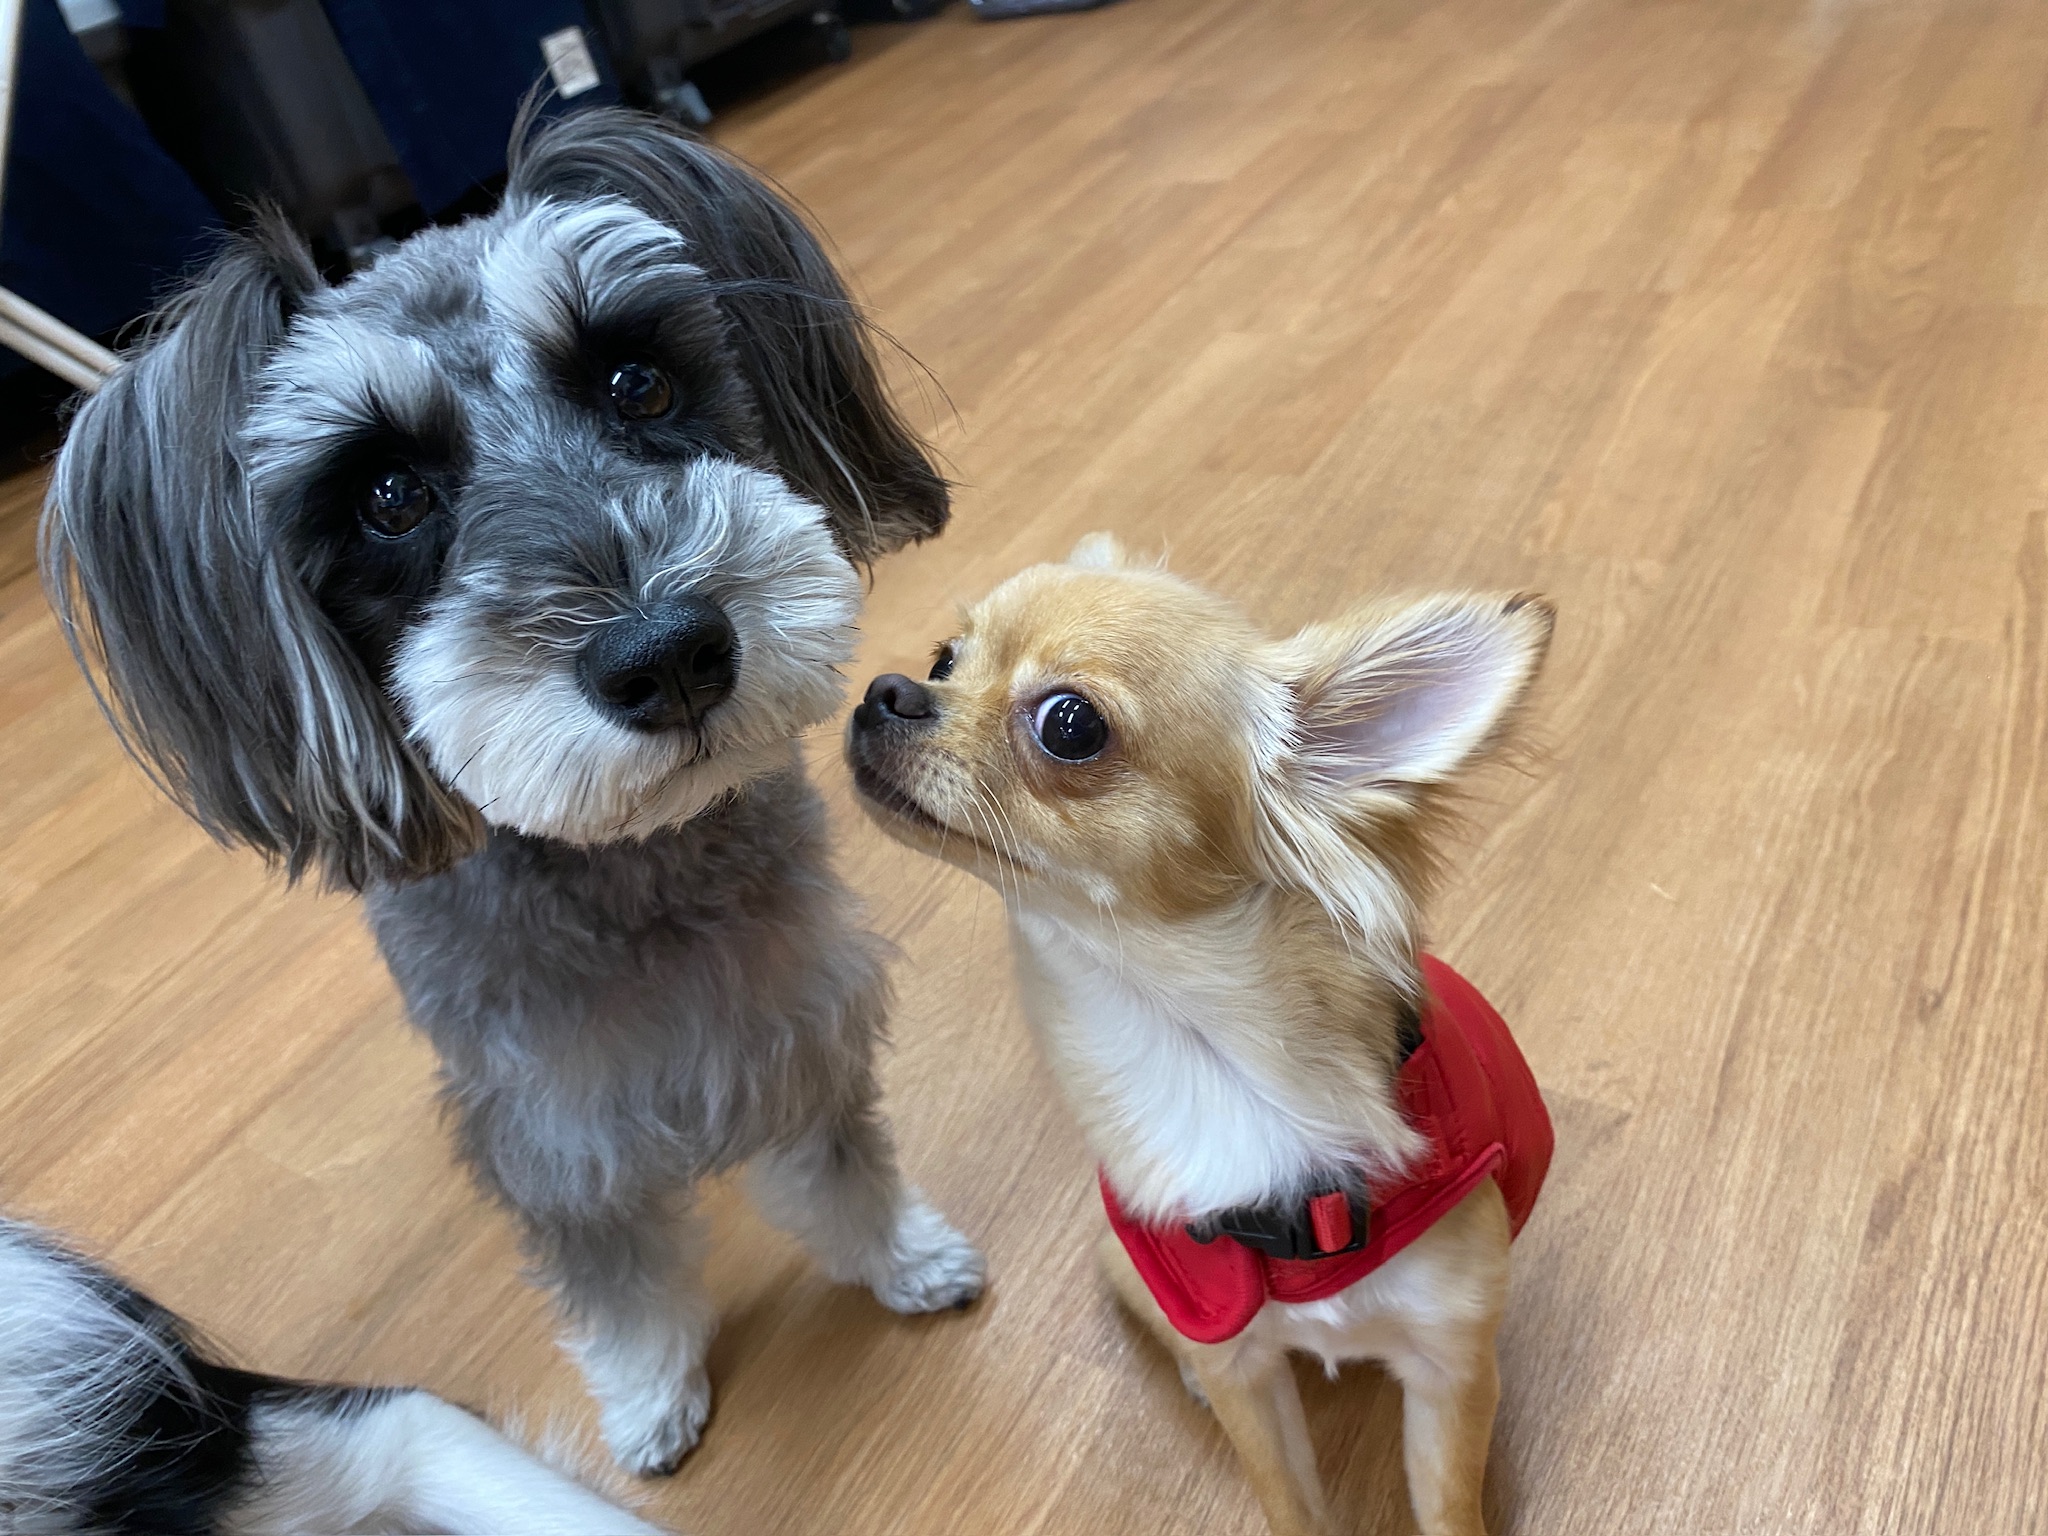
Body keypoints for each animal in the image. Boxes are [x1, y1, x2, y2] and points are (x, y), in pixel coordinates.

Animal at [40, 107, 984, 1477]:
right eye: (387, 494)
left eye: (636, 381)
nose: (667, 654)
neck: (636, 875)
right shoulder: (553, 1129)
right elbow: (617, 1273)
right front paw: (648, 1395)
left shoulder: (796, 1017)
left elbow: (838, 1166)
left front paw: (901, 1259)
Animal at [844, 534, 1555, 1536]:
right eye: (948, 657)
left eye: (1070, 724)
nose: (889, 688)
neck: (1200, 1049)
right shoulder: (1242, 1369)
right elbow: (1290, 1503)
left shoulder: (1448, 1366)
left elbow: (1448, 1511)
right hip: (1124, 1265)